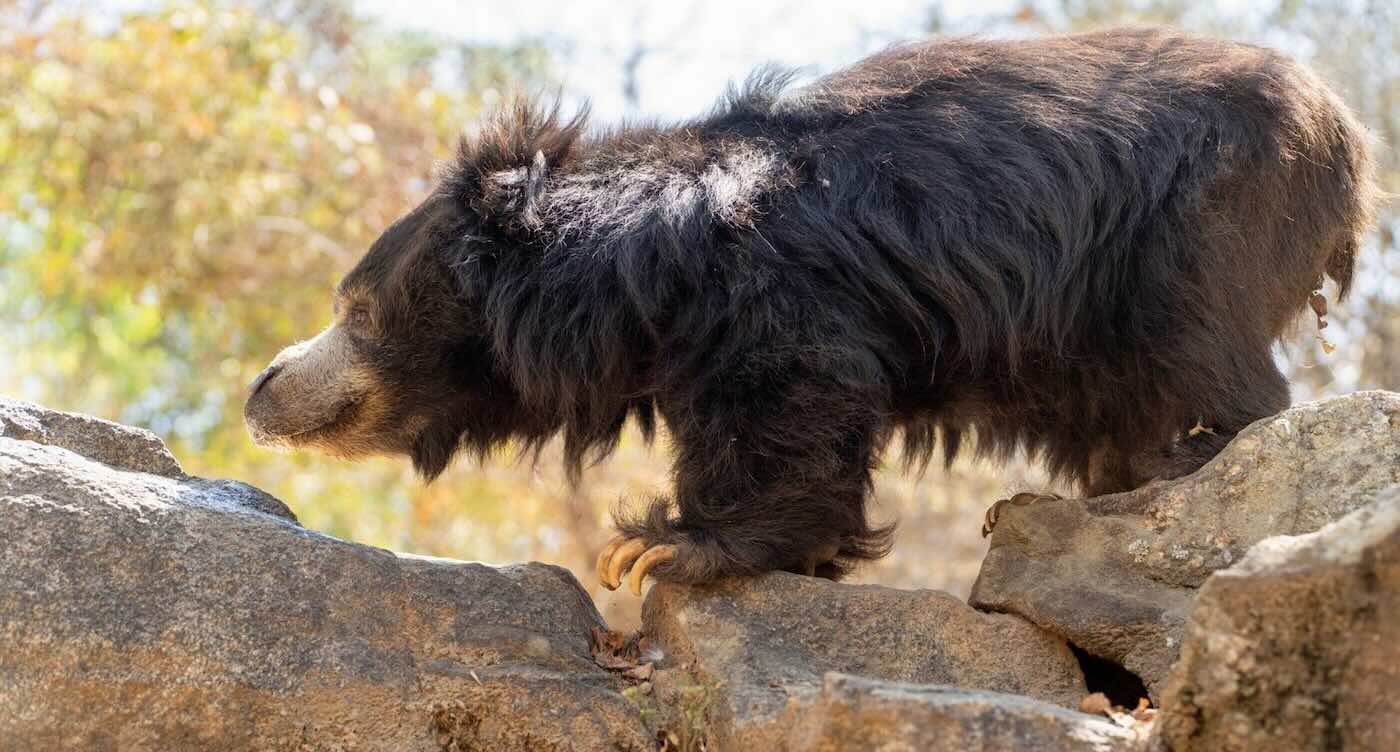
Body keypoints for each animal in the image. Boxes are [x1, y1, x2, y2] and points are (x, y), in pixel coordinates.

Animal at [244, 27, 1376, 595]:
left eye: (354, 308)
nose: (262, 390)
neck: (630, 271)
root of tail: (1348, 130)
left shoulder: (773, 294)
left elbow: (789, 396)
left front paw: (666, 547)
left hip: (1208, 214)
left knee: (1205, 344)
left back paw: (1194, 459)